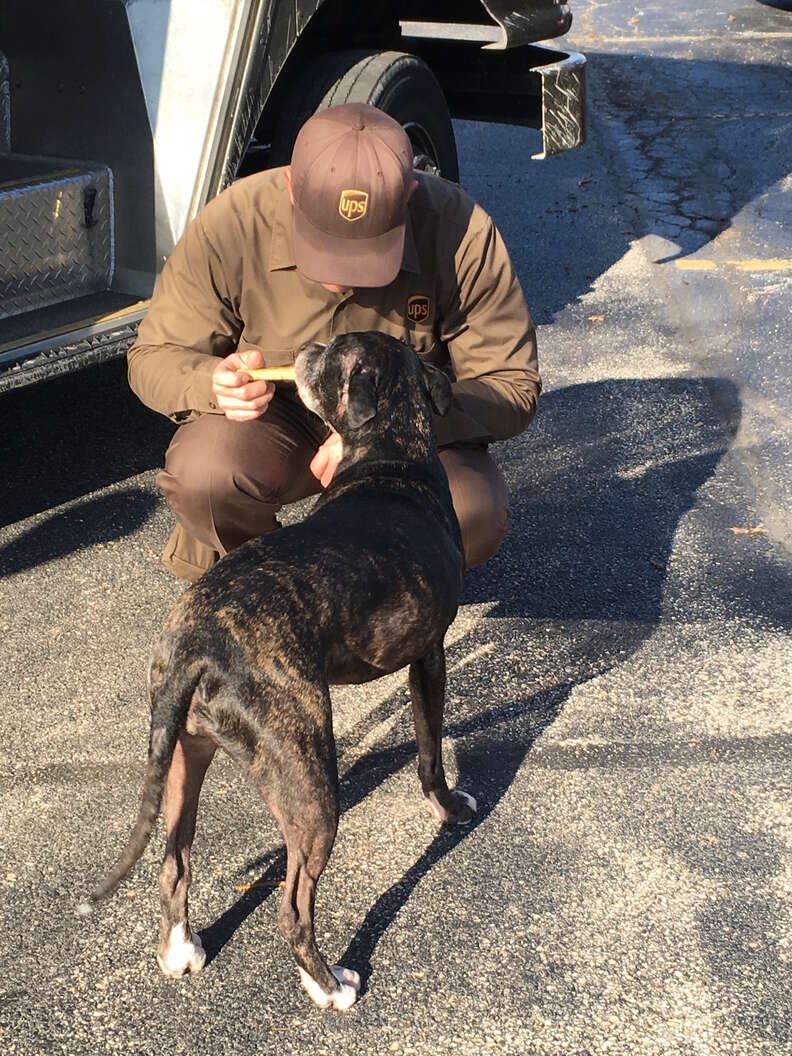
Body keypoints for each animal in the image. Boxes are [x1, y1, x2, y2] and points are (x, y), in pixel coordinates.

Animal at [90, 329, 481, 1005]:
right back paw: (330, 985)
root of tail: (195, 642)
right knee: (292, 908)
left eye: (331, 353)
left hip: (185, 754)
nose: (307, 344)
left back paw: (181, 949)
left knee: (174, 861)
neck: (390, 455)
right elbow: (431, 756)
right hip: (310, 784)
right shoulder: (428, 657)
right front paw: (451, 810)